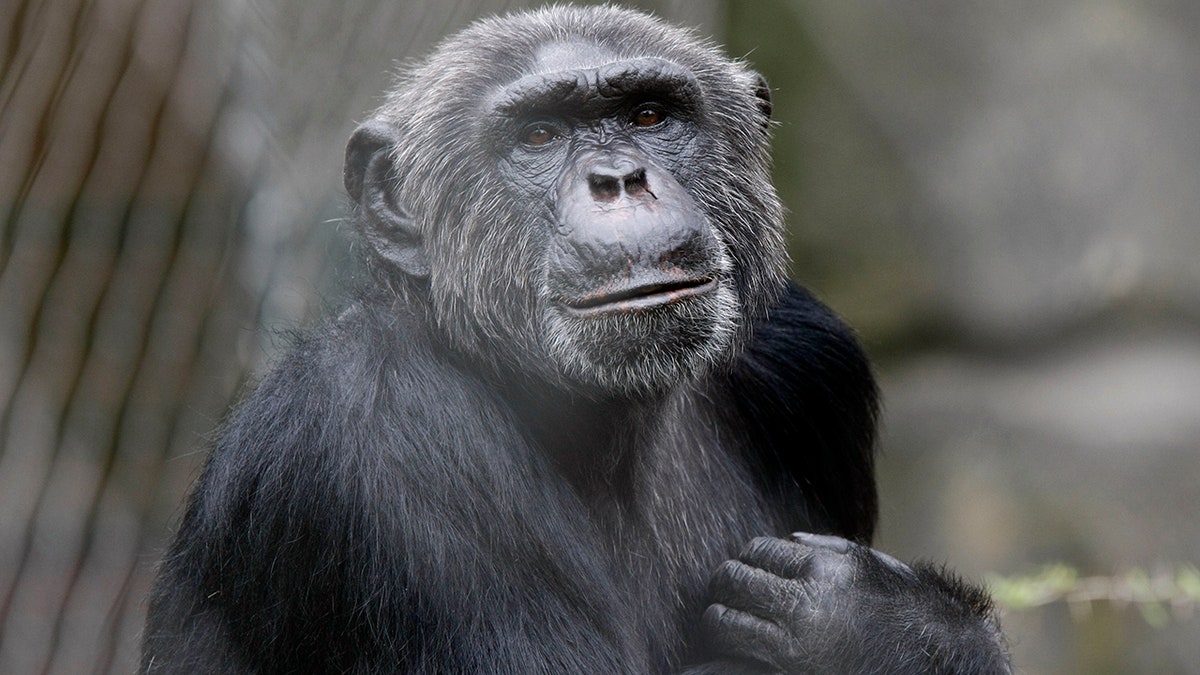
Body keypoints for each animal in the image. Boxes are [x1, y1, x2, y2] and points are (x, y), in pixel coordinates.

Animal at [140, 6, 1008, 672]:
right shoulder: (375, 435)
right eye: (539, 136)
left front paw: (893, 623)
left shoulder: (813, 357)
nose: (619, 180)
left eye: (650, 115)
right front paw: (870, 625)